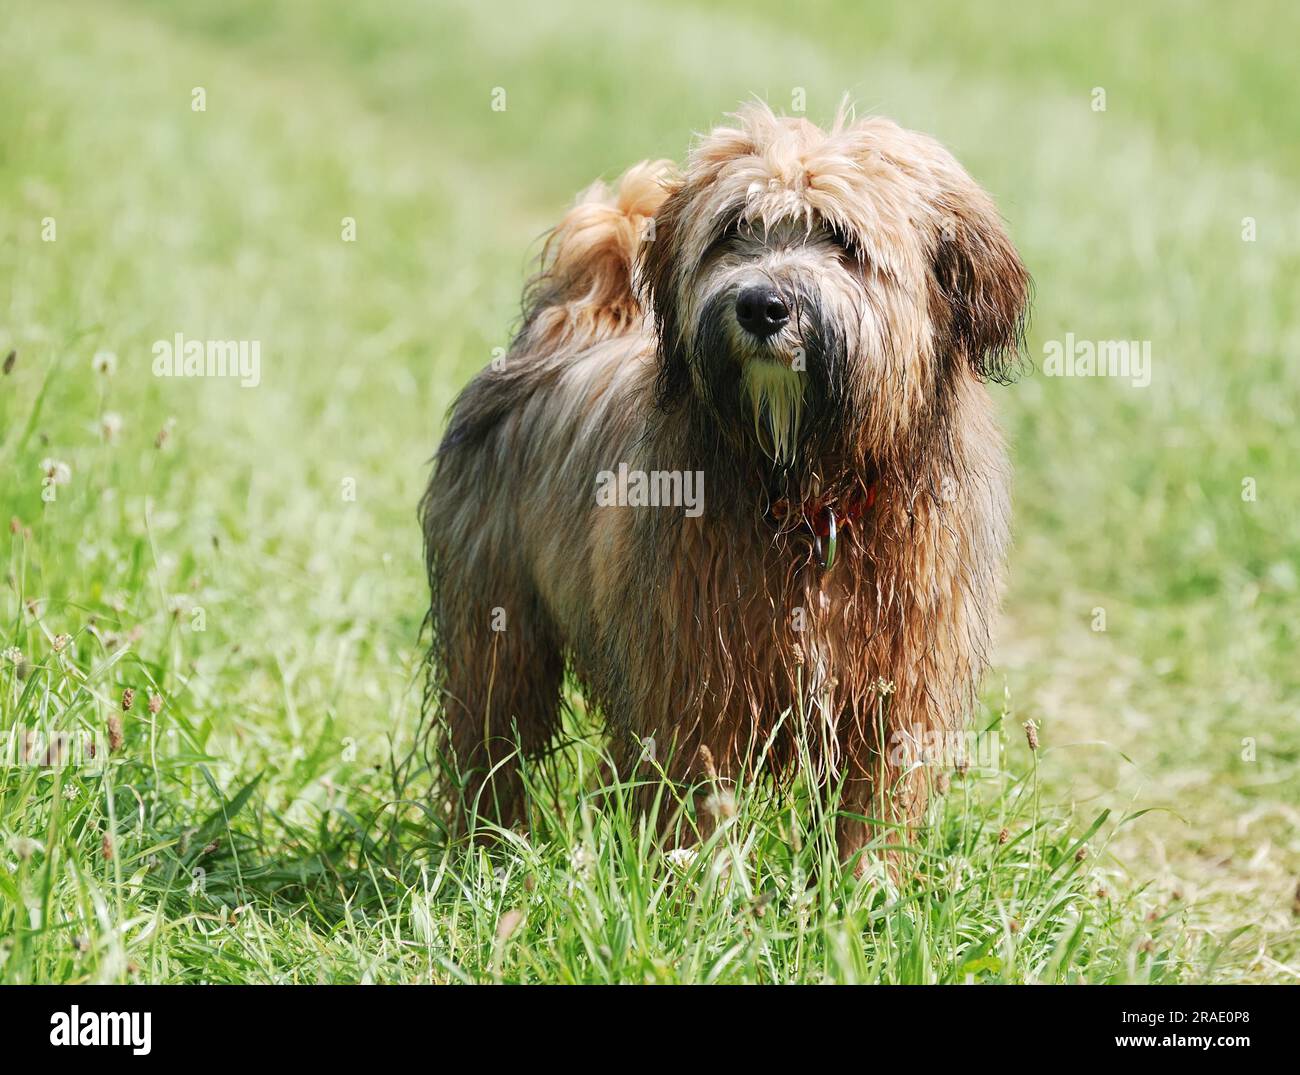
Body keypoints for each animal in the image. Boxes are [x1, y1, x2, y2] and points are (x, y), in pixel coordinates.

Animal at [421, 102, 1029, 873]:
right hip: (493, 617)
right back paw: (489, 852)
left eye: (843, 239)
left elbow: (873, 809)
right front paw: (696, 883)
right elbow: (697, 796)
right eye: (735, 231)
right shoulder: (695, 679)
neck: (810, 501)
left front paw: (862, 889)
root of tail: (566, 329)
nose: (762, 305)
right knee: (489, 736)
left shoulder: (899, 691)